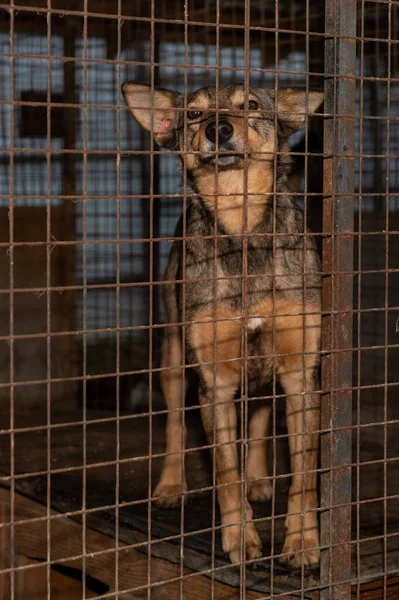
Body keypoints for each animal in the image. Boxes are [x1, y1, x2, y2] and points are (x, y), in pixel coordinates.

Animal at [122, 83, 324, 568]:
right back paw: (171, 485)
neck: (241, 228)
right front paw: (240, 539)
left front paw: (302, 542)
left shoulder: (300, 375)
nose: (218, 128)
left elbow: (304, 474)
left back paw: (259, 479)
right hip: (174, 362)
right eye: (194, 115)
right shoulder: (214, 383)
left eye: (249, 104)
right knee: (175, 425)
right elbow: (226, 475)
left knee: (260, 415)